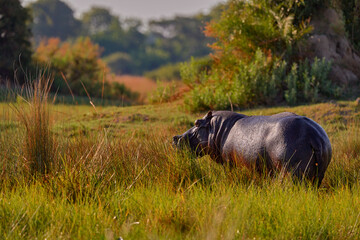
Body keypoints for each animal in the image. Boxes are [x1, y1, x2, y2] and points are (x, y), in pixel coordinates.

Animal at [174, 110, 332, 186]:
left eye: (197, 123)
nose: (175, 138)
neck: (218, 128)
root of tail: (314, 135)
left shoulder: (229, 163)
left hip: (291, 171)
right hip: (319, 173)